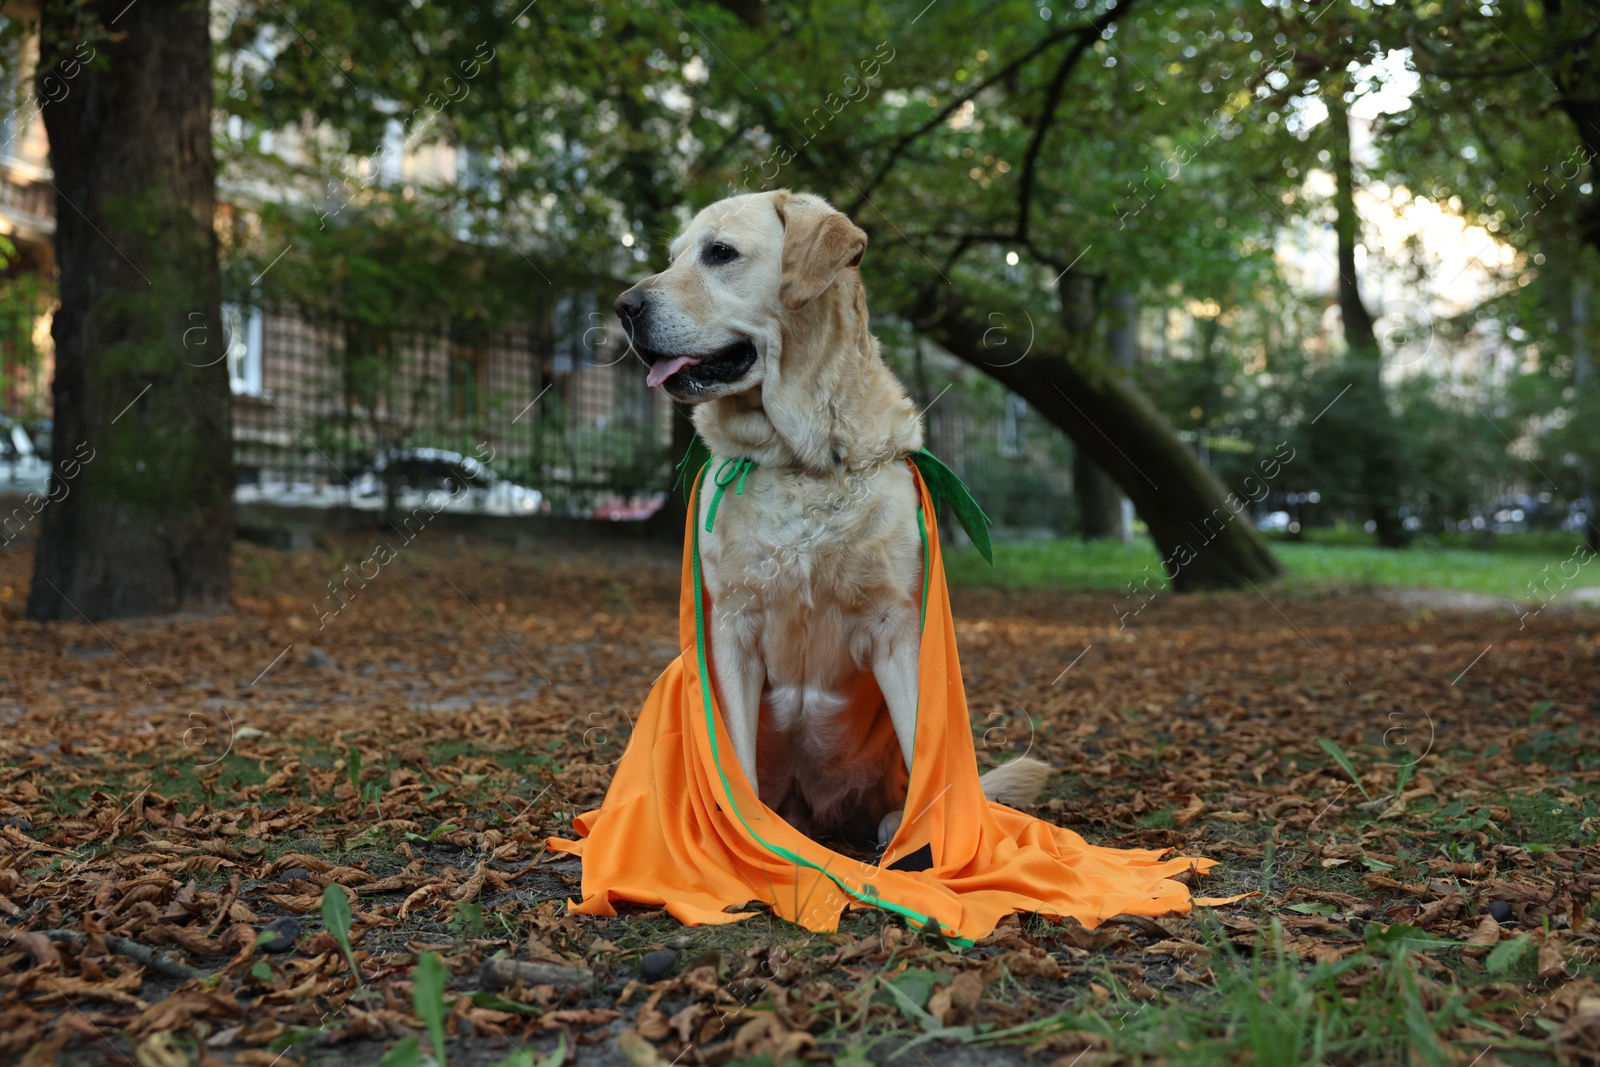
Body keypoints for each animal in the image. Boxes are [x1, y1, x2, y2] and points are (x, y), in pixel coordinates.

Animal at [614, 187, 1049, 844]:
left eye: (720, 253)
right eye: (672, 257)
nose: (623, 307)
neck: (798, 459)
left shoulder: (897, 628)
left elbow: (924, 740)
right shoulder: (731, 627)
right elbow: (734, 761)